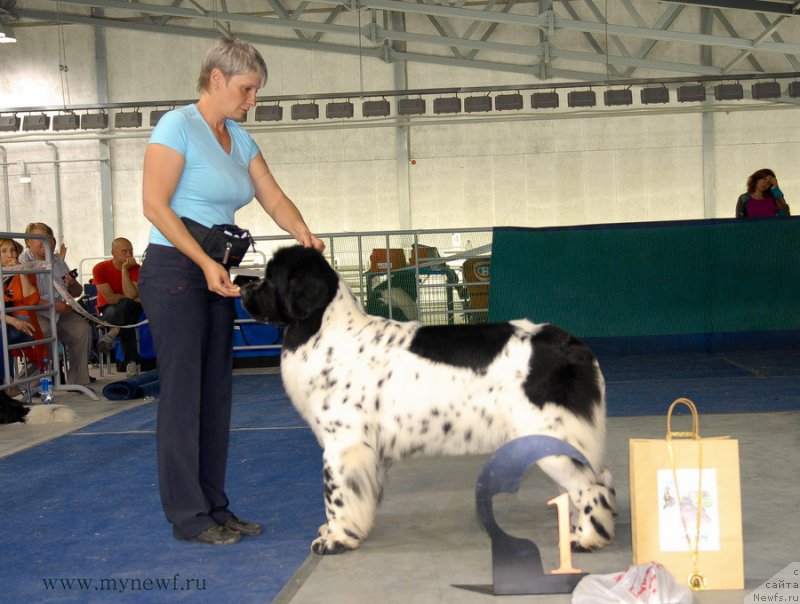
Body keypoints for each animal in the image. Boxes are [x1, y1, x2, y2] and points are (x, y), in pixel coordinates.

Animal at [241, 247, 616, 556]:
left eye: (270, 278)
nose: (242, 286)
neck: (325, 330)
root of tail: (572, 344)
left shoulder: (343, 444)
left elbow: (336, 495)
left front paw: (334, 539)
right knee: (599, 478)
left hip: (551, 436)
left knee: (590, 485)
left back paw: (586, 539)